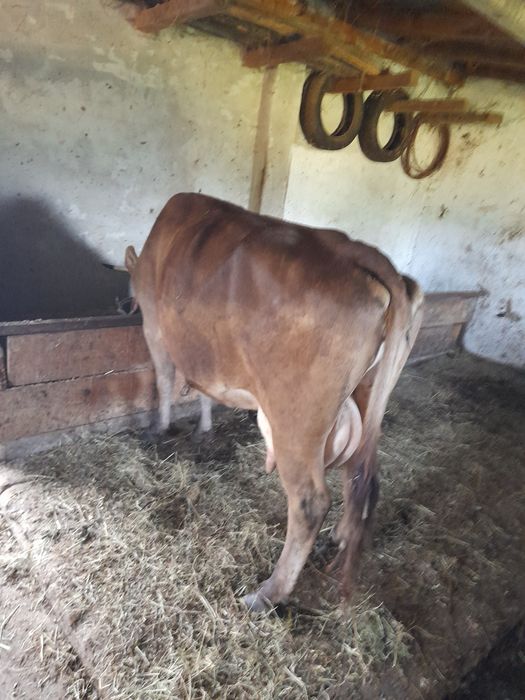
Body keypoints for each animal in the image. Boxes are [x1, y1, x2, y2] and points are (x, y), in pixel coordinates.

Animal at [124, 192, 423, 611]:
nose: (125, 304)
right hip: (366, 400)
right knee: (358, 475)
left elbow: (165, 380)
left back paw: (267, 593)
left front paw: (159, 430)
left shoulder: (154, 325)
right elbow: (203, 393)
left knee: (310, 501)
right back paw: (338, 539)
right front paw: (202, 428)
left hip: (296, 418)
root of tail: (360, 252)